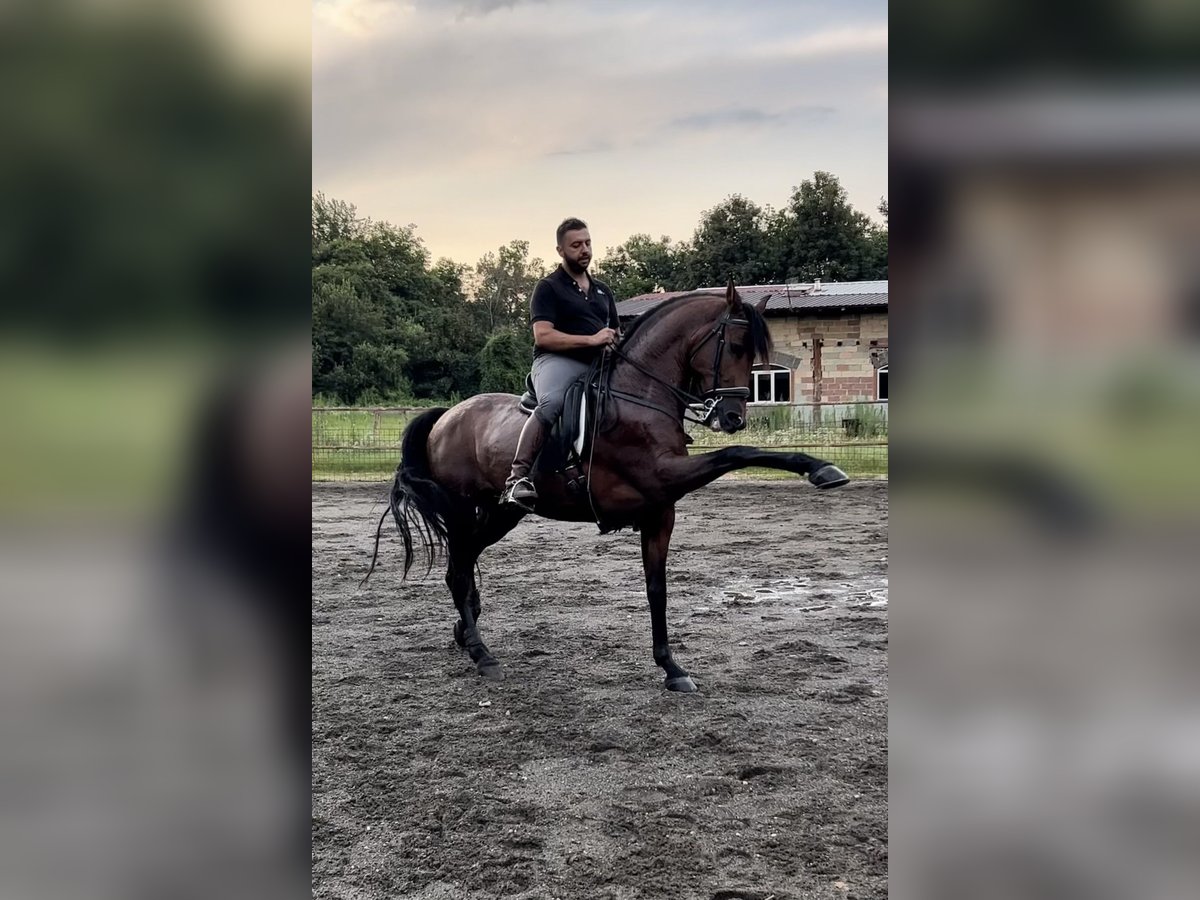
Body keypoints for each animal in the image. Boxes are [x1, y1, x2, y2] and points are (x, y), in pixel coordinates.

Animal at [368, 282, 849, 692]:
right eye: (733, 346)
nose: (732, 418)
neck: (640, 395)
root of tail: (447, 416)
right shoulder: (665, 475)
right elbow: (737, 453)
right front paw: (821, 469)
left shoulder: (660, 511)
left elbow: (657, 589)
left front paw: (671, 668)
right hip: (463, 509)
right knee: (458, 569)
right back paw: (482, 653)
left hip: (501, 512)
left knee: (464, 567)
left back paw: (466, 636)